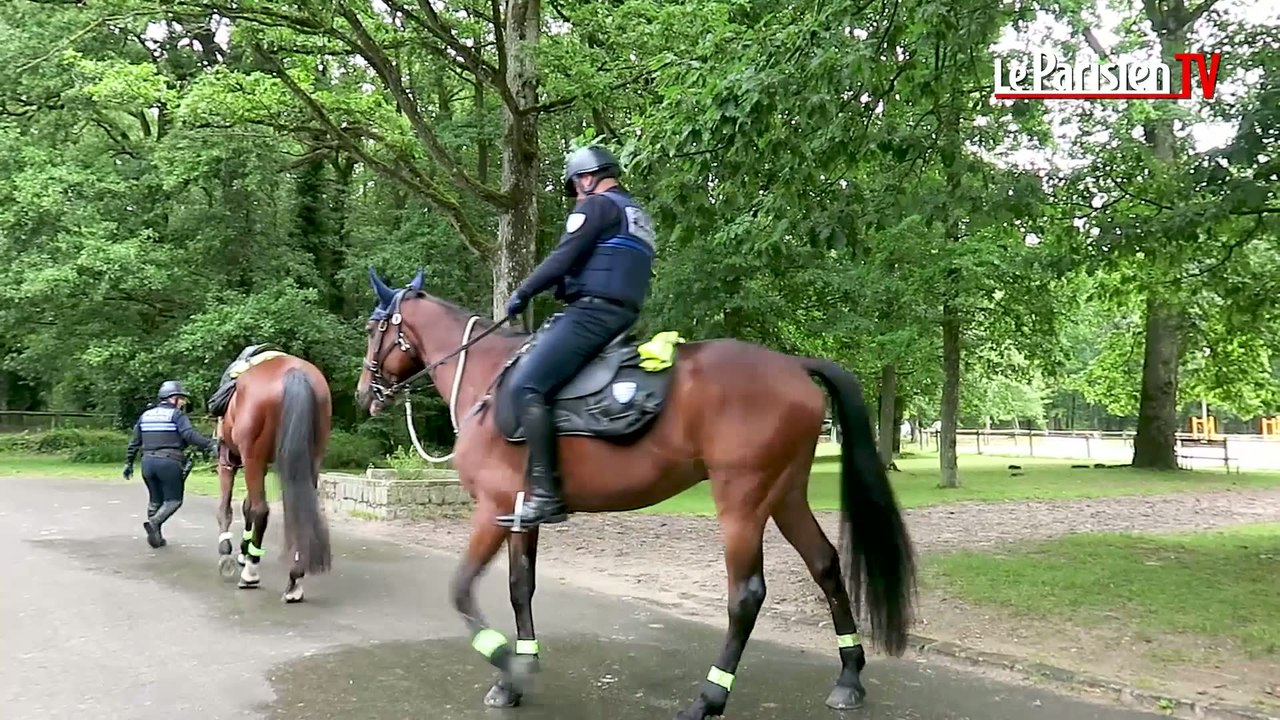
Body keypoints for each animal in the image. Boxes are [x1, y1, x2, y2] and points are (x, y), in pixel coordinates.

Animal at [212, 352, 333, 603]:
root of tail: (294, 372)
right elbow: (246, 506)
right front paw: (244, 550)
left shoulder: (228, 460)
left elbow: (227, 509)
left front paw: (228, 554)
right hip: (311, 458)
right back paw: (294, 580)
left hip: (252, 457)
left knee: (261, 510)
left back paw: (251, 574)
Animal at [356, 269, 916, 719]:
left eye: (373, 329)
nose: (364, 394)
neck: (487, 380)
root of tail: (793, 365)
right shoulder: (518, 515)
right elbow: (520, 587)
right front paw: (517, 671)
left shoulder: (491, 508)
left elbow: (461, 588)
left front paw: (506, 665)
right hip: (785, 496)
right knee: (825, 565)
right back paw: (848, 677)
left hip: (742, 501)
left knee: (746, 595)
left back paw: (709, 698)